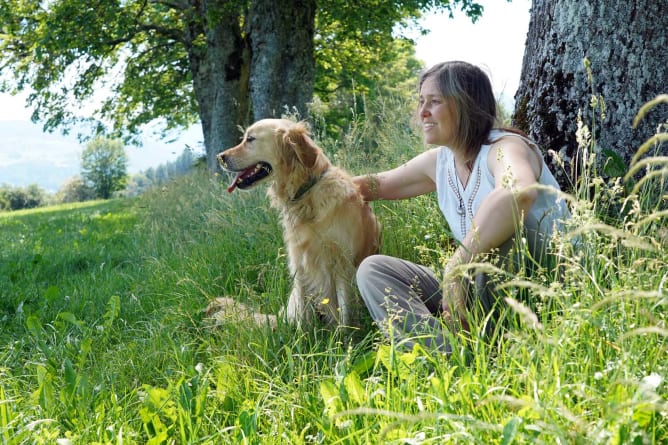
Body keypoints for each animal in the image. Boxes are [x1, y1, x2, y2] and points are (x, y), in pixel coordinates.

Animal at [215, 118, 378, 326]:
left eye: (250, 139)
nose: (220, 157)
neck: (306, 194)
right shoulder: (299, 263)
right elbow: (303, 315)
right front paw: (303, 335)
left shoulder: (342, 262)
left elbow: (344, 311)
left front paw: (345, 334)